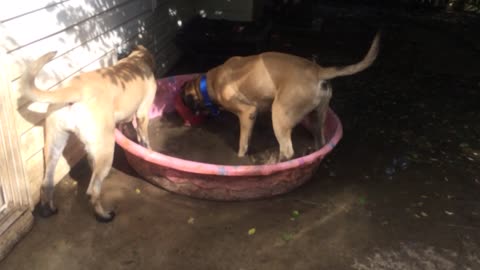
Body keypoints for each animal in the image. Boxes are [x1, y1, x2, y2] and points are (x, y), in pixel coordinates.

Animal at [18, 44, 157, 221]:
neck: (136, 60)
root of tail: (75, 89)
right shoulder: (142, 115)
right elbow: (144, 140)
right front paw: (148, 153)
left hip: (54, 145)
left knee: (47, 184)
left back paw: (48, 209)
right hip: (106, 147)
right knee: (93, 190)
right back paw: (103, 215)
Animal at [182, 32, 380, 162]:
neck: (208, 83)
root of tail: (317, 71)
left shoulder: (247, 112)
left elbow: (242, 145)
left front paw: (239, 158)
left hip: (279, 115)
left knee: (287, 150)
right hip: (317, 116)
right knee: (320, 141)